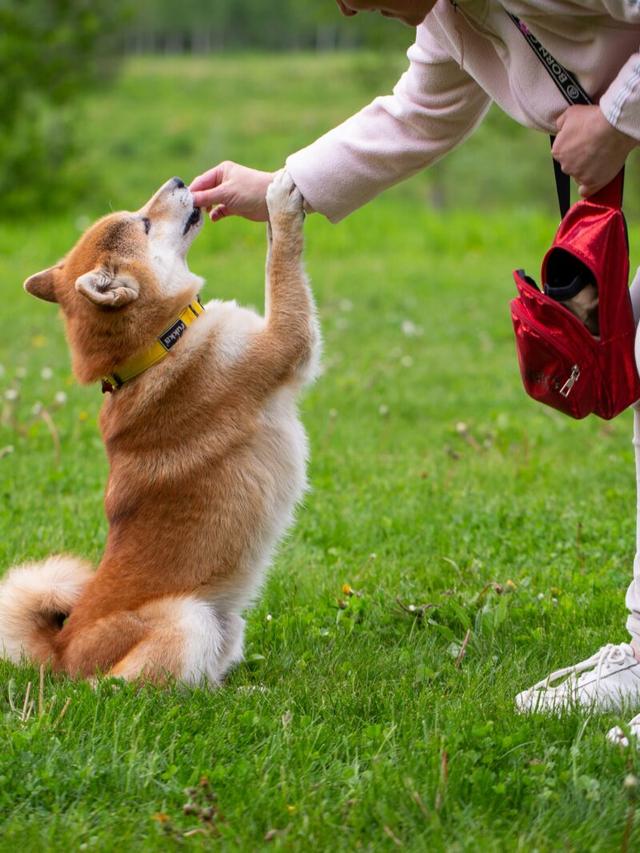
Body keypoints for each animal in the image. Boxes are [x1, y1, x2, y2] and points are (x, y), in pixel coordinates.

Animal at [0, 170, 320, 684]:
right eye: (144, 223)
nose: (179, 179)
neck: (159, 345)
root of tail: (61, 653)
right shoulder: (286, 340)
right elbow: (281, 264)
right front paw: (280, 202)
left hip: (223, 625)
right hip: (188, 618)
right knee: (131, 688)